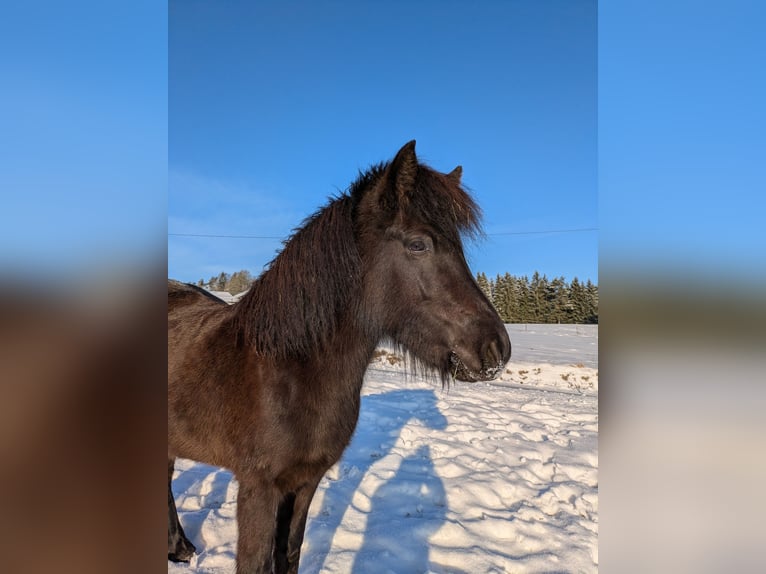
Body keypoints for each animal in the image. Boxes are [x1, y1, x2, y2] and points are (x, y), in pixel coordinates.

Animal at [168, 140, 511, 573]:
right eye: (418, 244)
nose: (496, 348)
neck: (289, 371)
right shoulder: (259, 488)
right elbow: (257, 561)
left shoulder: (304, 483)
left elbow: (289, 553)